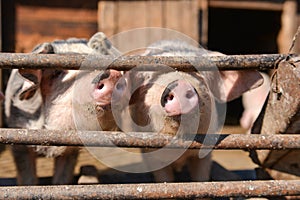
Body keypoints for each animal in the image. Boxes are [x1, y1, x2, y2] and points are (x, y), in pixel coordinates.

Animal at [4, 32, 123, 184]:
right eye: (57, 73)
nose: (112, 75)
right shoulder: (19, 139)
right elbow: (27, 178)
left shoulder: (70, 150)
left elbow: (62, 179)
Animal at [120, 39, 264, 182]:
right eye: (148, 77)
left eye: (200, 73)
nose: (181, 84)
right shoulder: (150, 155)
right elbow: (163, 179)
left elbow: (200, 177)